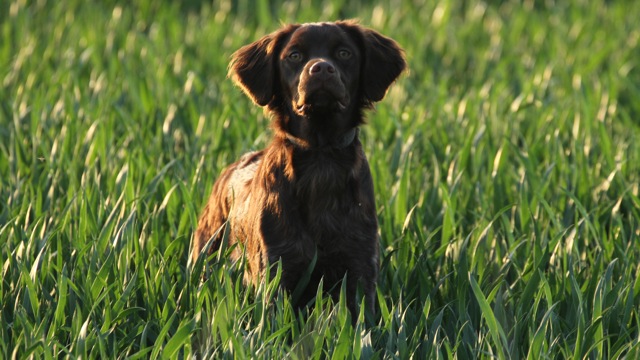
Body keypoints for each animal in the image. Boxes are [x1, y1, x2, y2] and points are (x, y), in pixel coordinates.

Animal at [195, 20, 404, 318]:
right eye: (294, 55)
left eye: (344, 53)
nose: (321, 68)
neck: (320, 156)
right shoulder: (277, 267)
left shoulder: (360, 265)